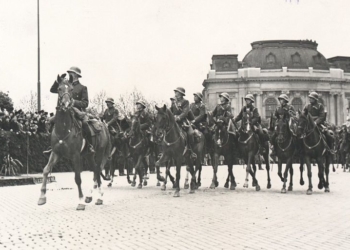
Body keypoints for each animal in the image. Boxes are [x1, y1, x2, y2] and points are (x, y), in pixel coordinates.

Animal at [37, 73, 110, 209]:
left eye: (71, 90)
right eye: (59, 88)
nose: (66, 104)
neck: (64, 129)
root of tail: (102, 124)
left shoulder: (76, 156)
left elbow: (77, 178)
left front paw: (80, 202)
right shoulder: (56, 153)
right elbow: (46, 170)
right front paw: (42, 197)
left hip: (99, 153)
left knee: (97, 170)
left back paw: (99, 197)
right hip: (88, 155)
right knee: (95, 171)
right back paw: (91, 197)